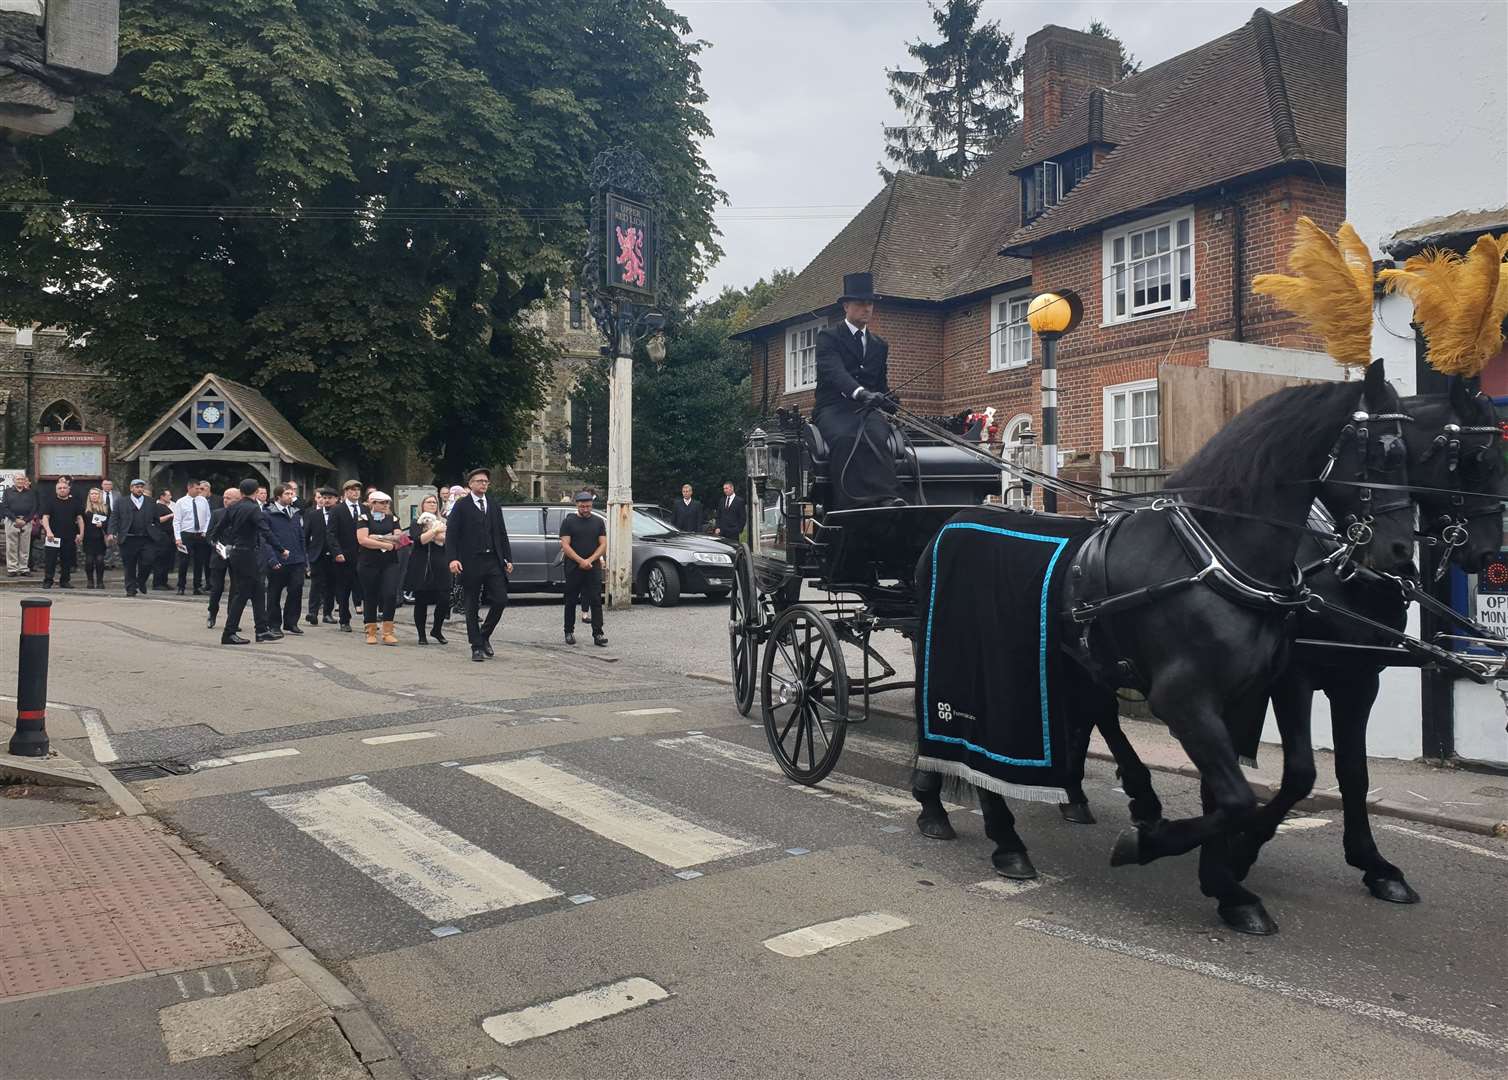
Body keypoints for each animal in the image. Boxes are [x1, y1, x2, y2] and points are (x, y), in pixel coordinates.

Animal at [910, 358, 1417, 935]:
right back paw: (986, 829)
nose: (1400, 552)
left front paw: (1227, 885)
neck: (1213, 555)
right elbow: (1238, 797)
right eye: (1383, 453)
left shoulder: (1245, 694)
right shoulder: (1186, 698)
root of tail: (948, 523)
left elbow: (1234, 792)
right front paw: (1150, 844)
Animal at [1224, 380, 1508, 905]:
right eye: (1480, 461)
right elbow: (1300, 773)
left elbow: (1354, 771)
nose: (1486, 551)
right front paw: (1242, 848)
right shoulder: (1293, 676)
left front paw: (1373, 864)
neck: (1342, 565)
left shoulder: (1359, 678)